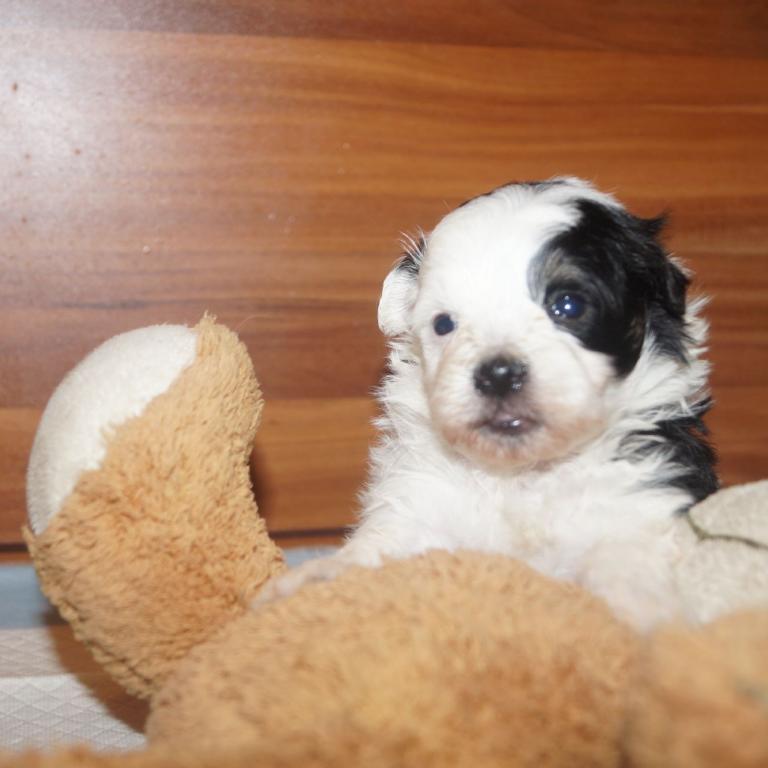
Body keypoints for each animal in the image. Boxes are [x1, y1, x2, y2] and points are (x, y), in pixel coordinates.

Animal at [256, 177, 717, 630]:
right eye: (444, 324)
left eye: (568, 306)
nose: (498, 374)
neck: (521, 476)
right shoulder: (418, 501)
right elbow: (382, 547)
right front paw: (319, 577)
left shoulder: (638, 509)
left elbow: (630, 572)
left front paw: (641, 620)